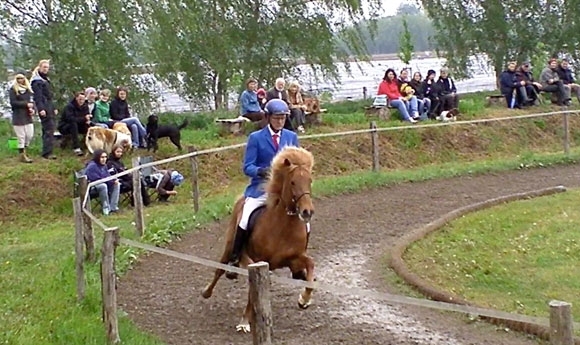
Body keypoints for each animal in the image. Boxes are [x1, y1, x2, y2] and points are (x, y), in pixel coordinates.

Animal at [201, 146, 318, 332]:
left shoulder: (294, 258)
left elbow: (311, 265)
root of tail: (241, 199)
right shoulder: (259, 261)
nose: (307, 212)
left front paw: (304, 300)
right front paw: (244, 321)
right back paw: (207, 292)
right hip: (230, 245)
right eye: (292, 182)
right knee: (220, 269)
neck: (284, 226)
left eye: (310, 180)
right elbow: (252, 290)